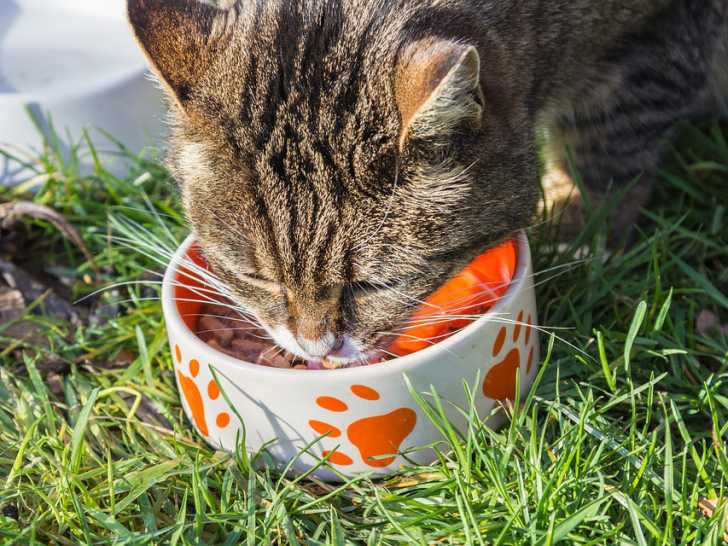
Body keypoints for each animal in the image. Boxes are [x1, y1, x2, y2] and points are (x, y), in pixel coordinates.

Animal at [128, 1, 724, 366]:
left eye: (374, 285)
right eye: (258, 277)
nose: (317, 348)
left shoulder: (654, 40)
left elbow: (608, 148)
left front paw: (580, 230)